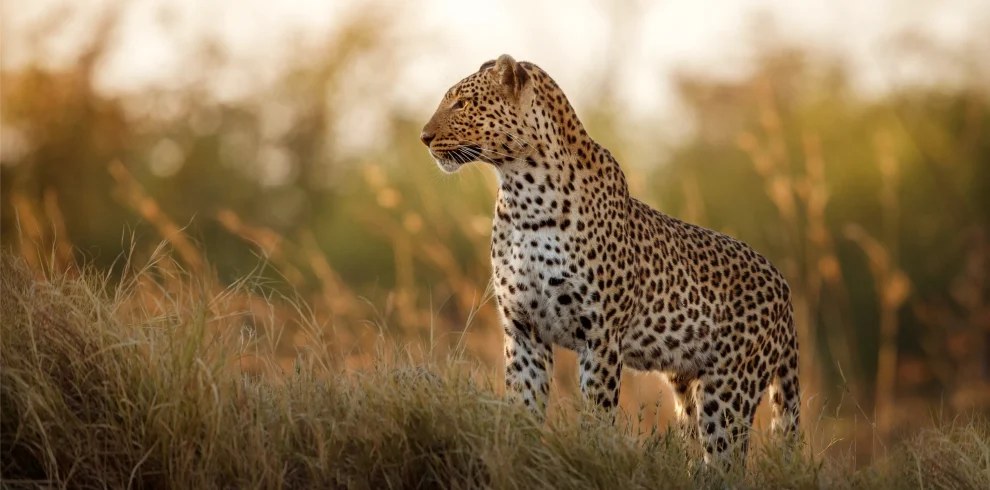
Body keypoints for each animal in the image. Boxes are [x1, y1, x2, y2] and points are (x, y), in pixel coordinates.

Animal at [422, 54, 804, 468]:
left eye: (461, 104)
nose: (424, 136)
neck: (523, 194)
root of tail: (784, 287)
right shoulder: (523, 330)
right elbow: (523, 407)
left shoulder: (600, 334)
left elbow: (597, 414)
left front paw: (591, 458)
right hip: (688, 384)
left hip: (730, 388)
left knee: (727, 462)